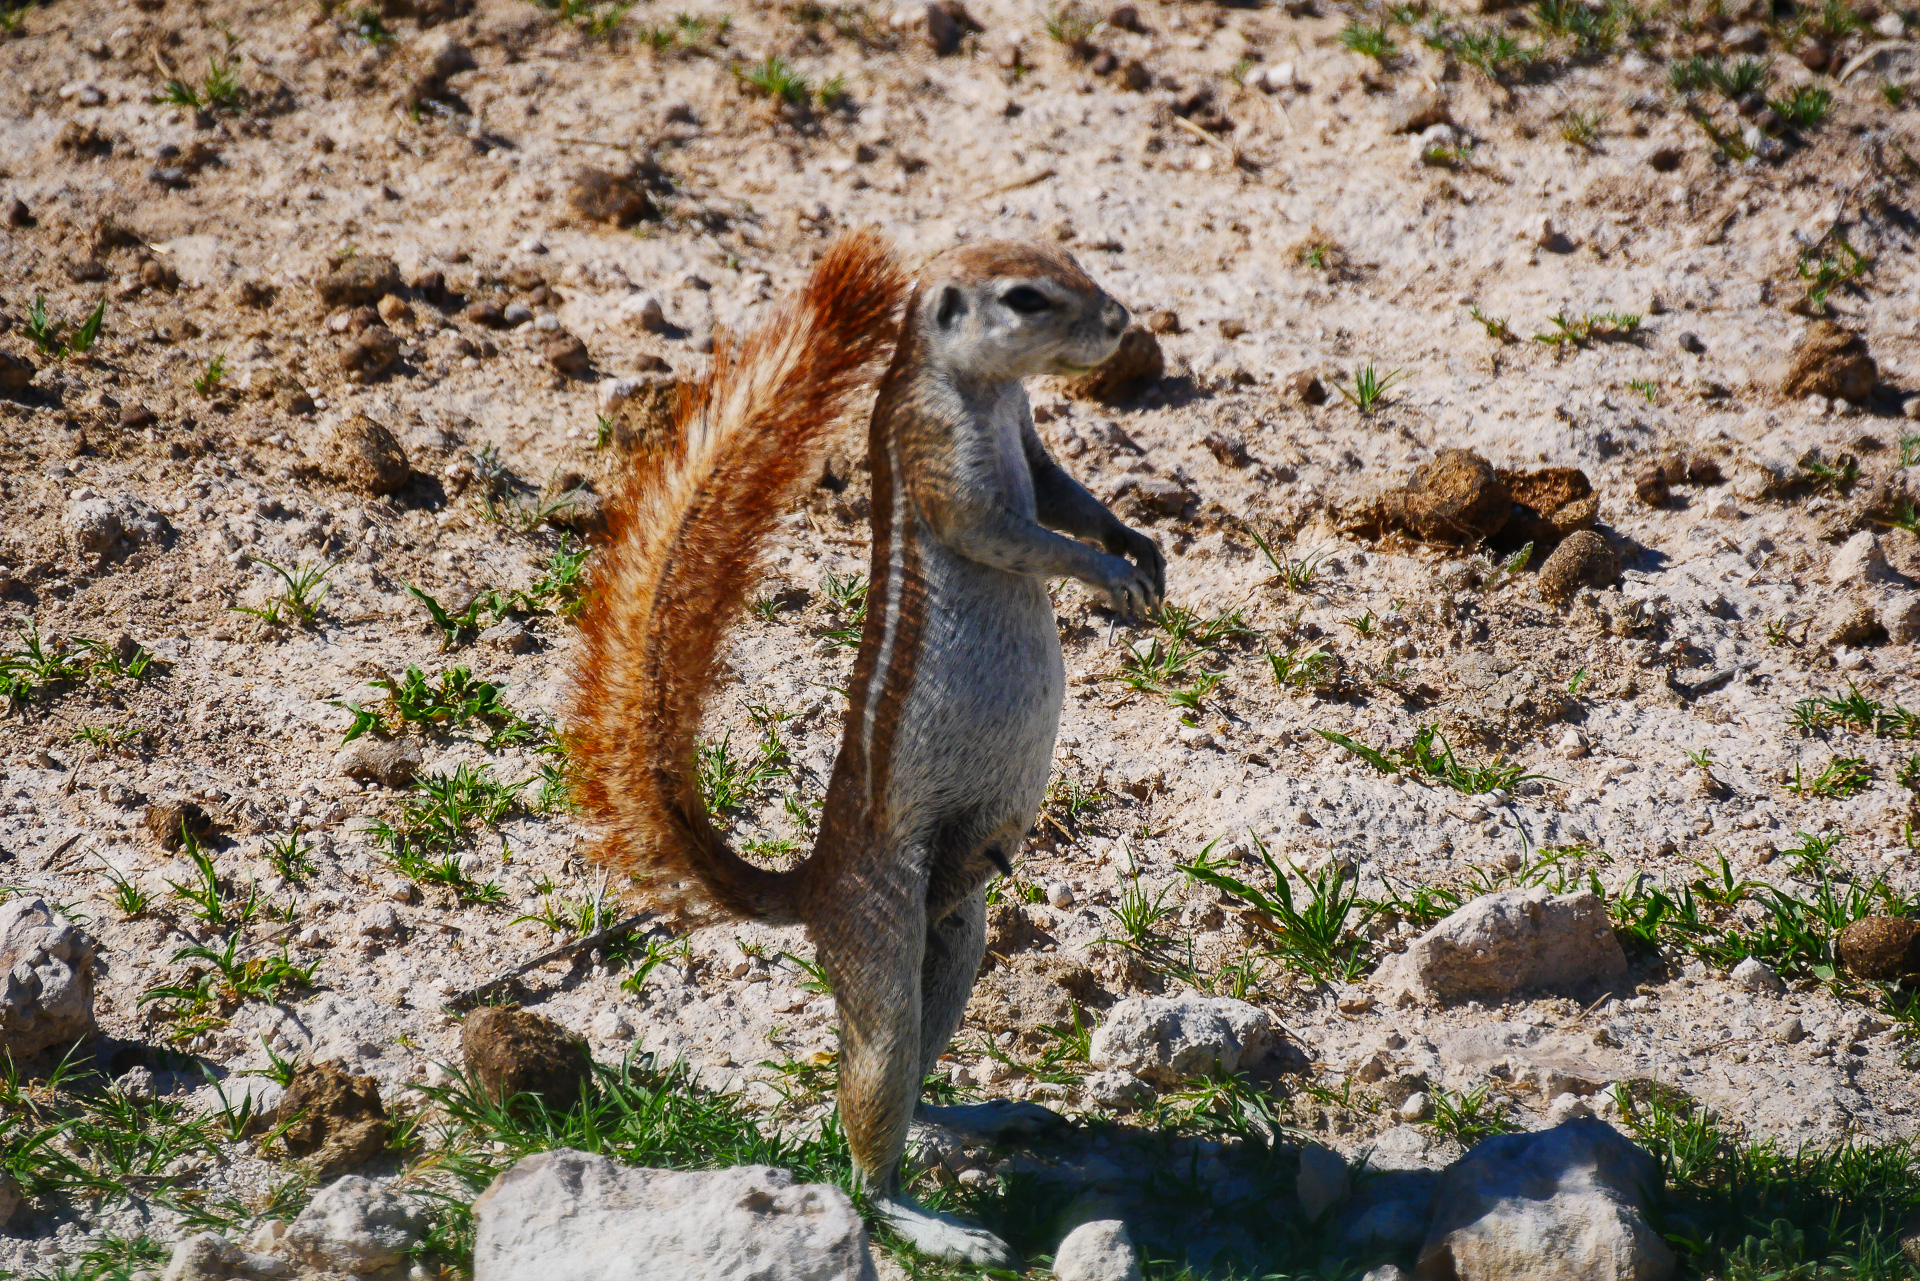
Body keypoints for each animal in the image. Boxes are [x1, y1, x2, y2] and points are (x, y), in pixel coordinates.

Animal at [568, 227, 1159, 1259]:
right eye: (1028, 297)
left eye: (1075, 262)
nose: (1122, 323)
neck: (980, 388)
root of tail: (810, 884)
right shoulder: (941, 458)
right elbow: (1016, 532)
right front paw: (1105, 571)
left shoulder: (1030, 443)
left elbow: (1066, 495)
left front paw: (1138, 542)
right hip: (881, 946)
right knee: (872, 1122)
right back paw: (935, 1225)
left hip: (958, 937)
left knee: (918, 1069)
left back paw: (979, 1116)